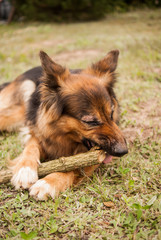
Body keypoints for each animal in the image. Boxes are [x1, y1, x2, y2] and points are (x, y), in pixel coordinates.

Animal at [0, 50, 128, 201]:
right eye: (90, 121)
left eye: (111, 113)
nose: (123, 151)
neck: (65, 136)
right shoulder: (39, 130)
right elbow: (31, 147)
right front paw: (24, 170)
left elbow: (74, 167)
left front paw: (48, 183)